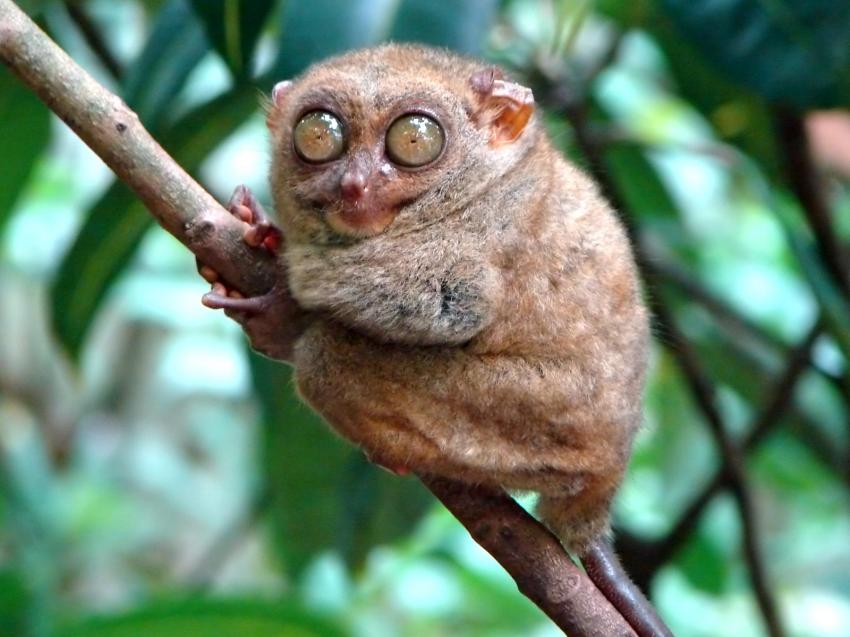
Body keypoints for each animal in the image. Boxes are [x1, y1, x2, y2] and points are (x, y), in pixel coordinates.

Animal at [198, 44, 669, 637]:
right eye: (318, 135)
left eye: (415, 140)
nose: (355, 183)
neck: (478, 187)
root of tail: (601, 498)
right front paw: (255, 226)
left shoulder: (487, 227)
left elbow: (448, 302)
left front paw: (273, 255)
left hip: (533, 423)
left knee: (325, 360)